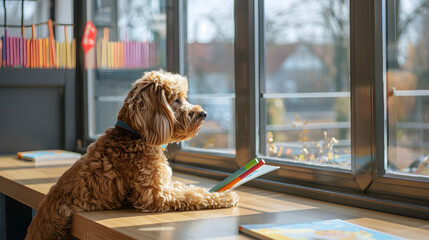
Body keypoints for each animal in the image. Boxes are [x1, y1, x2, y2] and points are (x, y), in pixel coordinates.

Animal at [25, 71, 239, 240]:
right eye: (176, 100)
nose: (203, 113)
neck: (136, 136)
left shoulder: (164, 184)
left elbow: (189, 188)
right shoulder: (156, 195)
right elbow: (194, 196)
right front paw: (226, 196)